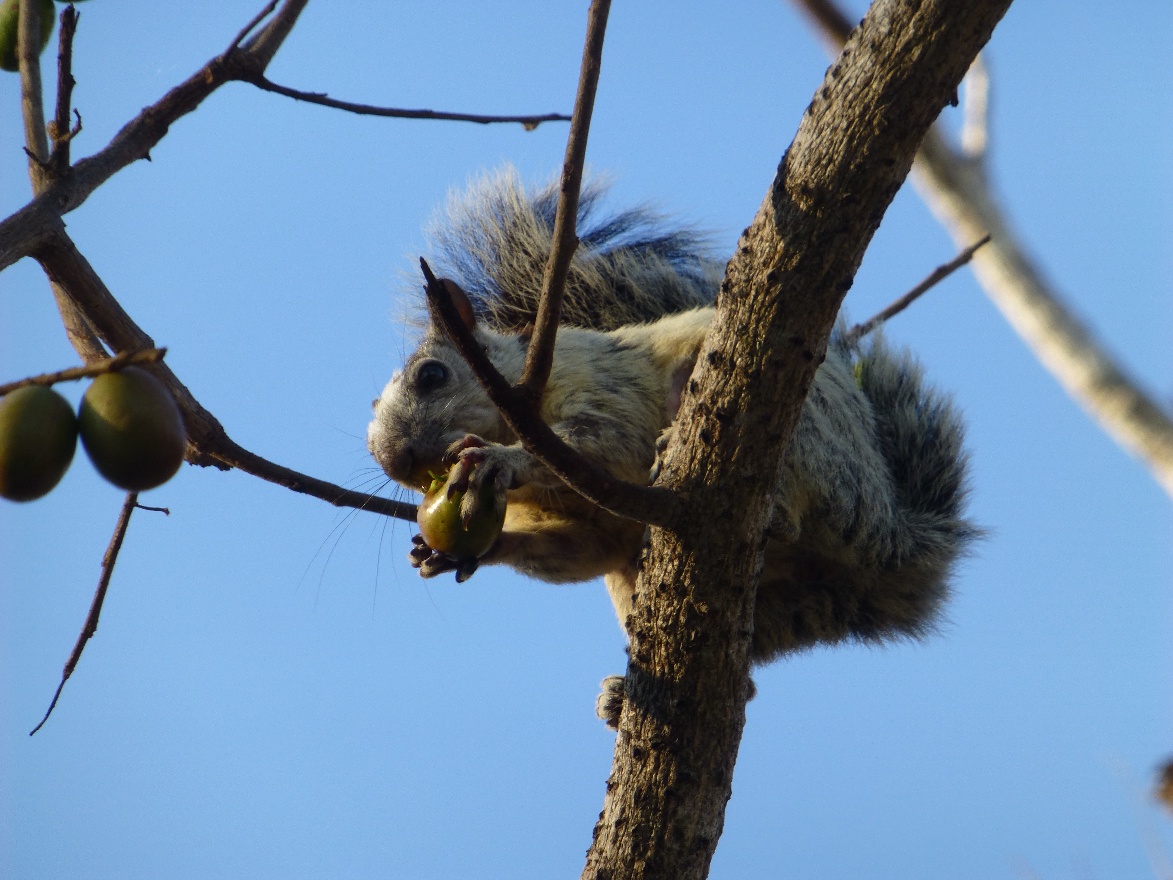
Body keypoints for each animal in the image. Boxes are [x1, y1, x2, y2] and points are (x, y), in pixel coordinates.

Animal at [367, 168, 977, 727]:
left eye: (431, 375)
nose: (394, 459)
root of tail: (889, 541)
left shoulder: (600, 388)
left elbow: (603, 439)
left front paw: (502, 460)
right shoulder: (587, 529)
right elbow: (576, 550)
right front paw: (454, 553)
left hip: (809, 439)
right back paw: (626, 695)